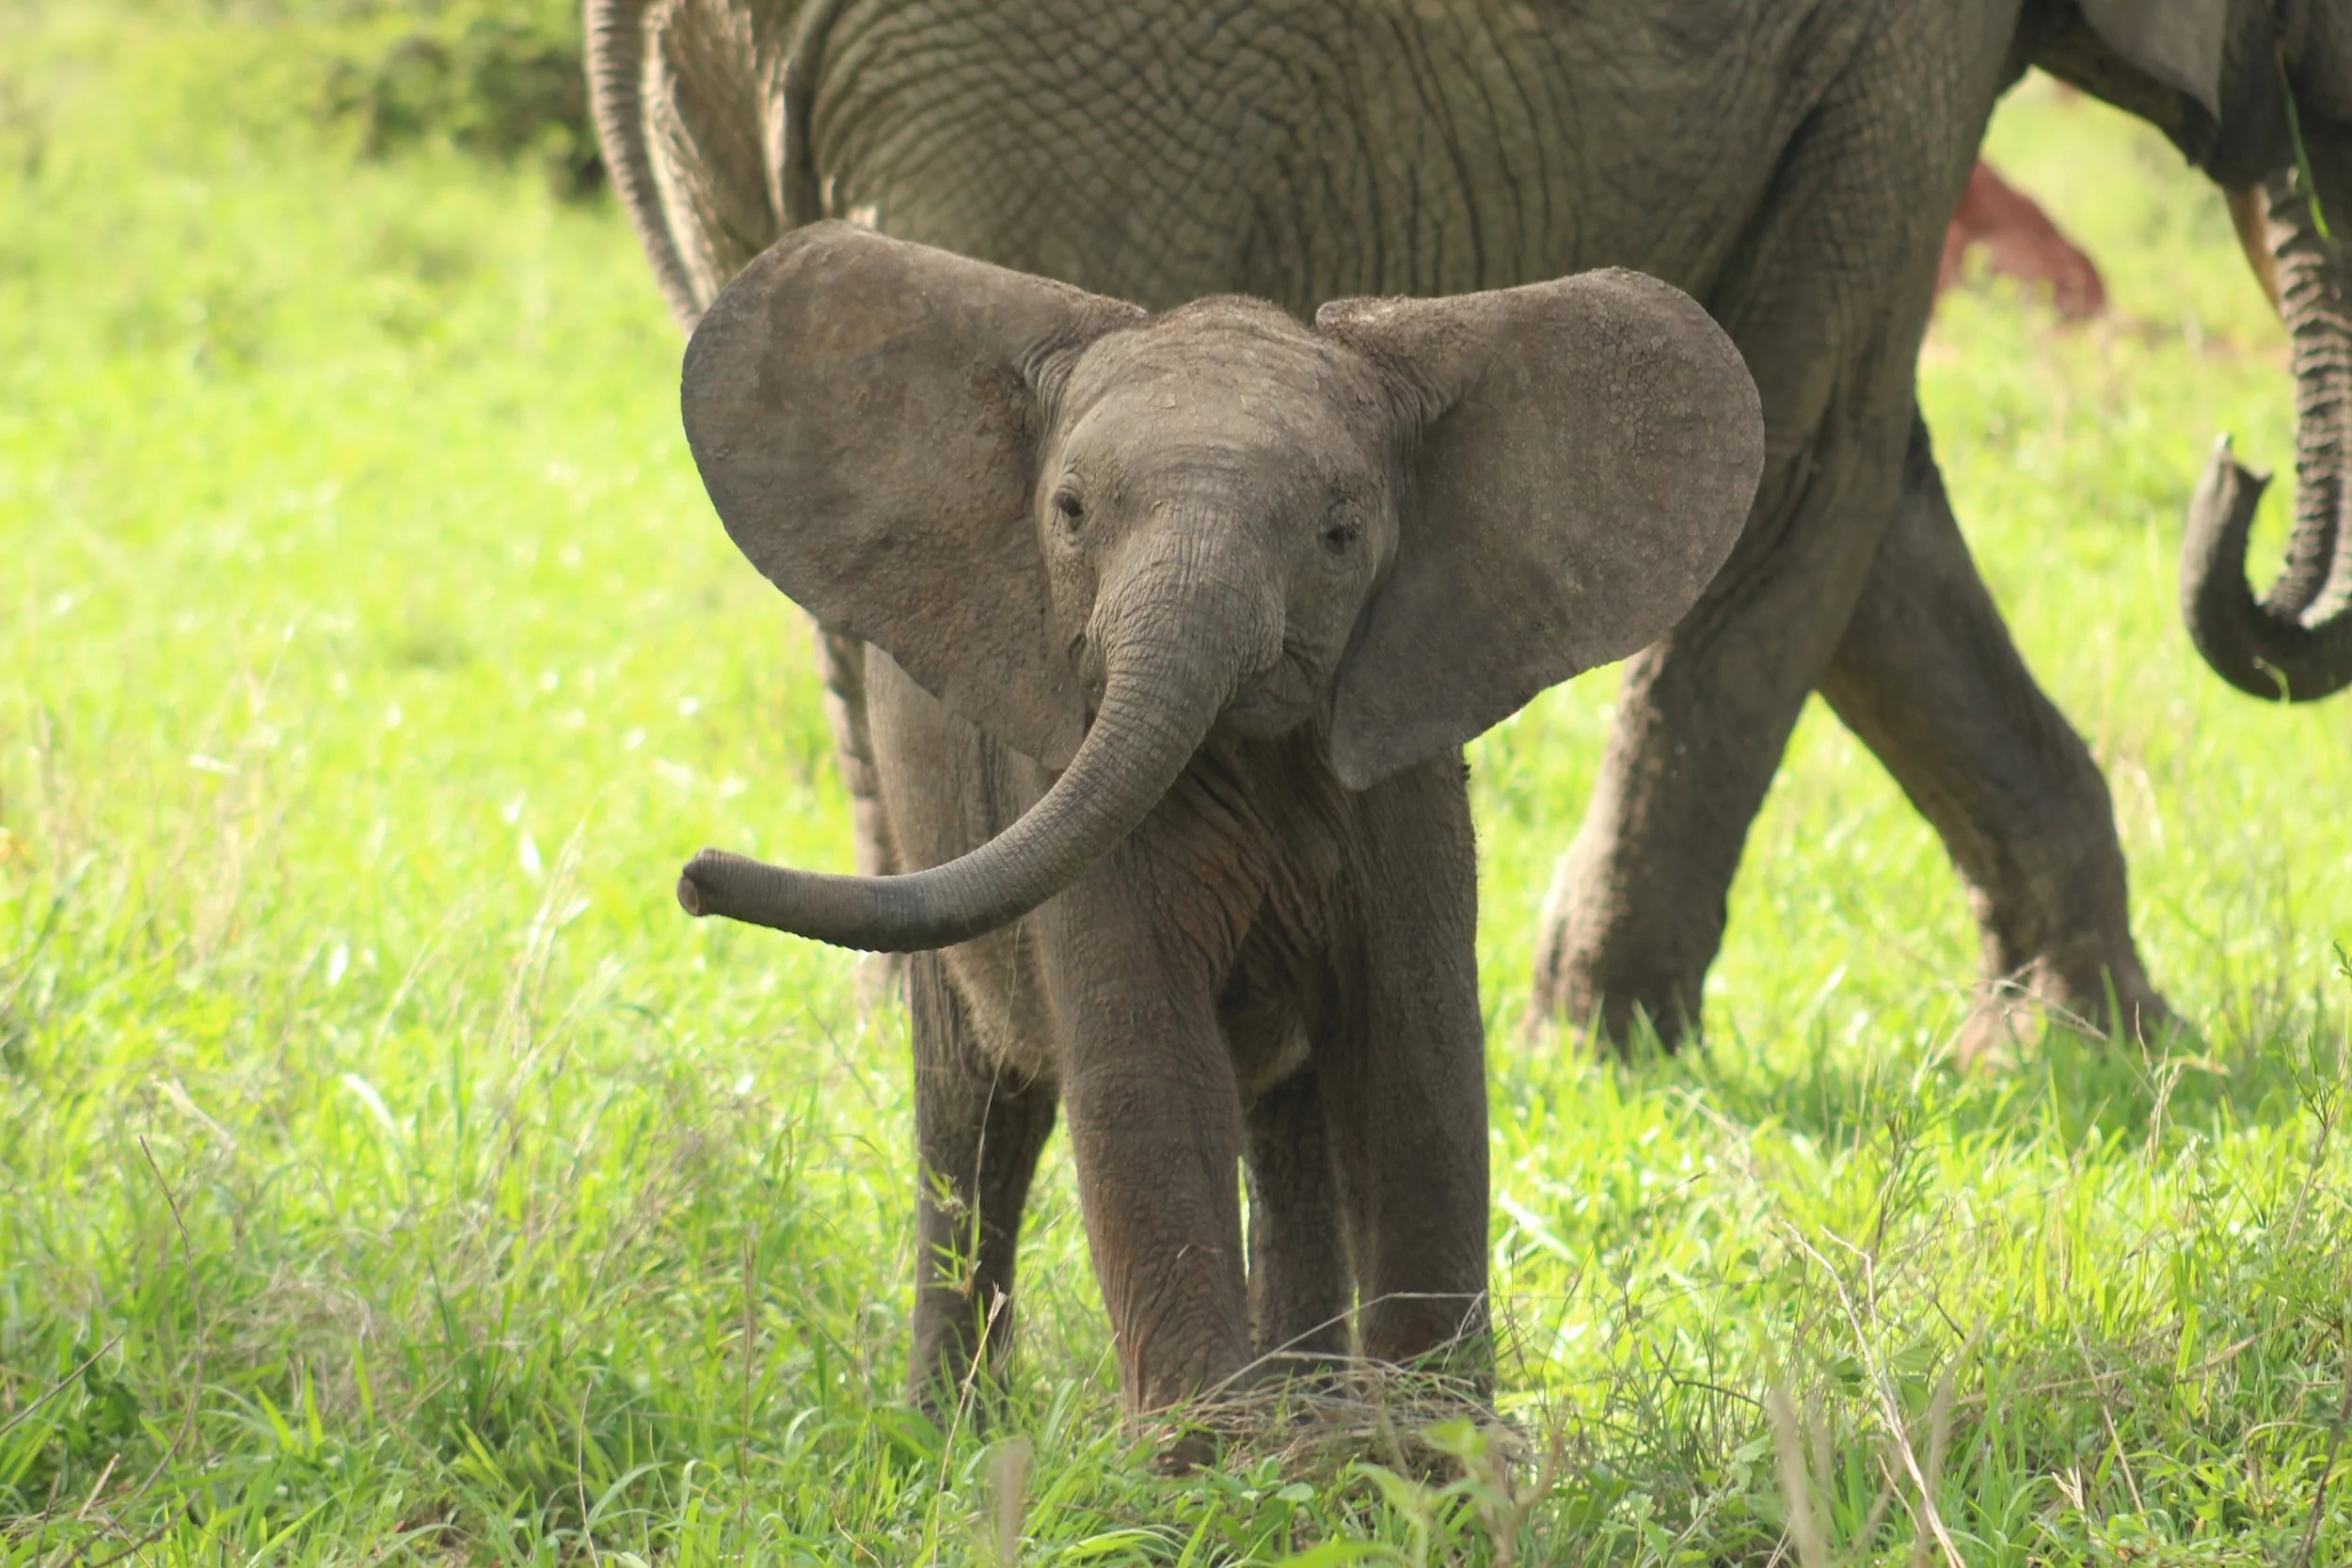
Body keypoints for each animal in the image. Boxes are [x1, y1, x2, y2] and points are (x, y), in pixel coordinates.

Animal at [588, 0, 2352, 1055]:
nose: (2236, 476)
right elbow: (1816, 457)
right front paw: (1602, 1047)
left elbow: (1848, 492)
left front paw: (2098, 1044)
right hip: (1041, 91)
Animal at [668, 221, 1764, 1415]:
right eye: (1070, 512)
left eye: (1340, 533)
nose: (694, 876)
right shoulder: (1059, 762)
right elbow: (1146, 1058)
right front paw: (1218, 1452)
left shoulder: (1403, 763)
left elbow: (1413, 1055)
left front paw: (1427, 1441)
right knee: (979, 1107)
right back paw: (955, 1426)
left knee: (1283, 1126)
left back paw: (1303, 1402)